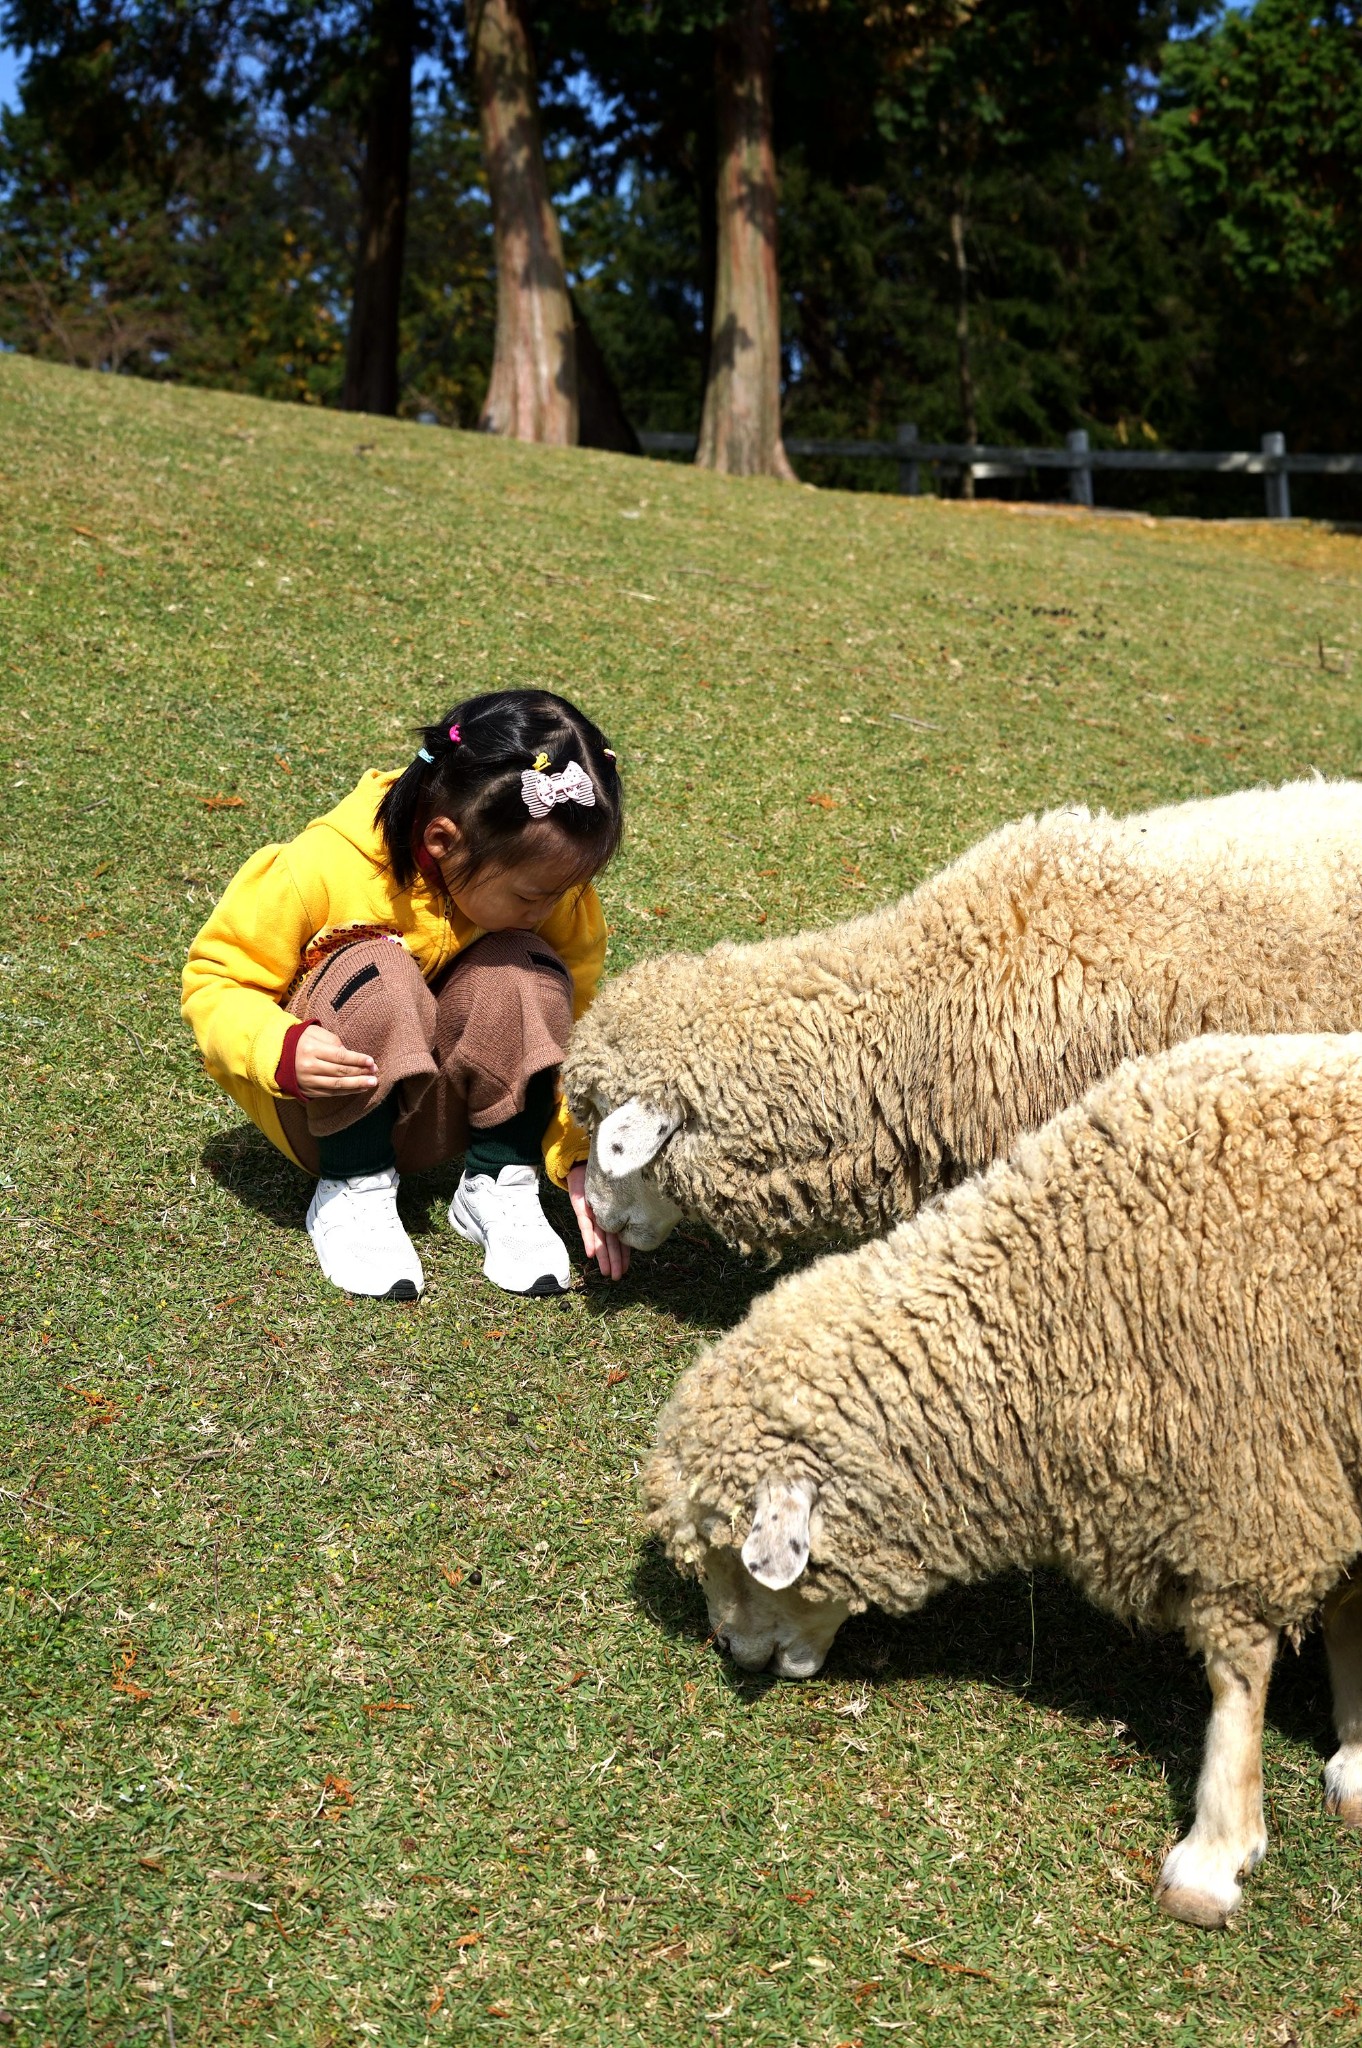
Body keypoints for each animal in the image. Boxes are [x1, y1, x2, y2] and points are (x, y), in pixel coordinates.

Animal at [643, 1040, 1359, 1933]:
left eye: (732, 1554)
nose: (727, 1651)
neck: (1068, 1301)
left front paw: (1215, 1855)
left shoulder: (1255, 1484)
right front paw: (1356, 1759)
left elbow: (1239, 1675)